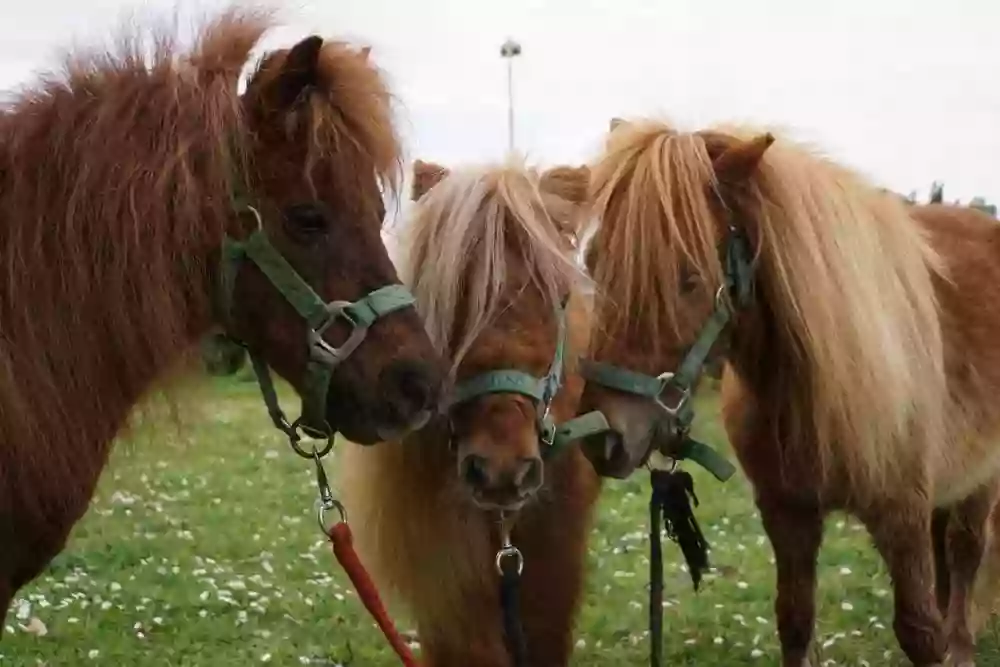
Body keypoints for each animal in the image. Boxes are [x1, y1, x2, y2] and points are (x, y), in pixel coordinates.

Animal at [576, 117, 1000, 664]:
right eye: (593, 262)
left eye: (689, 278)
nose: (603, 437)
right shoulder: (787, 512)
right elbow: (795, 620)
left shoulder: (901, 514)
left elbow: (920, 632)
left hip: (980, 478)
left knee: (966, 553)